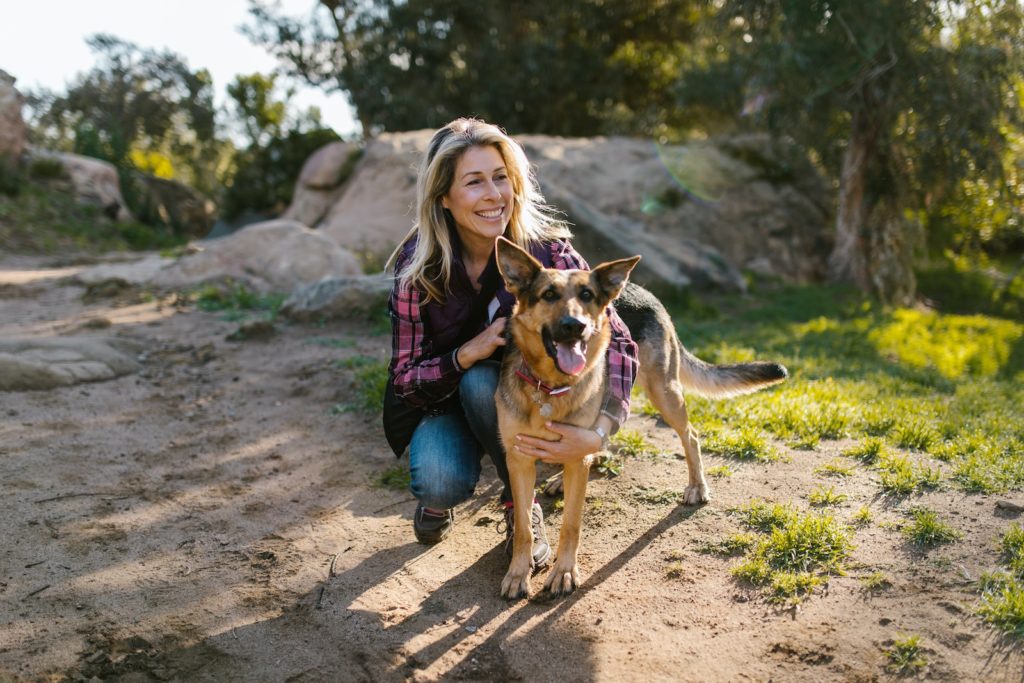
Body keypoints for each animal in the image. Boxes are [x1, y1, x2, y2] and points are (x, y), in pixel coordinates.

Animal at [491, 237, 786, 602]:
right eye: (548, 294)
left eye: (586, 295)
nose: (576, 326)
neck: (550, 386)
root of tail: (644, 291)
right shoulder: (518, 459)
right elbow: (523, 529)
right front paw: (518, 573)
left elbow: (571, 524)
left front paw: (564, 572)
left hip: (664, 391)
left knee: (690, 435)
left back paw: (697, 486)